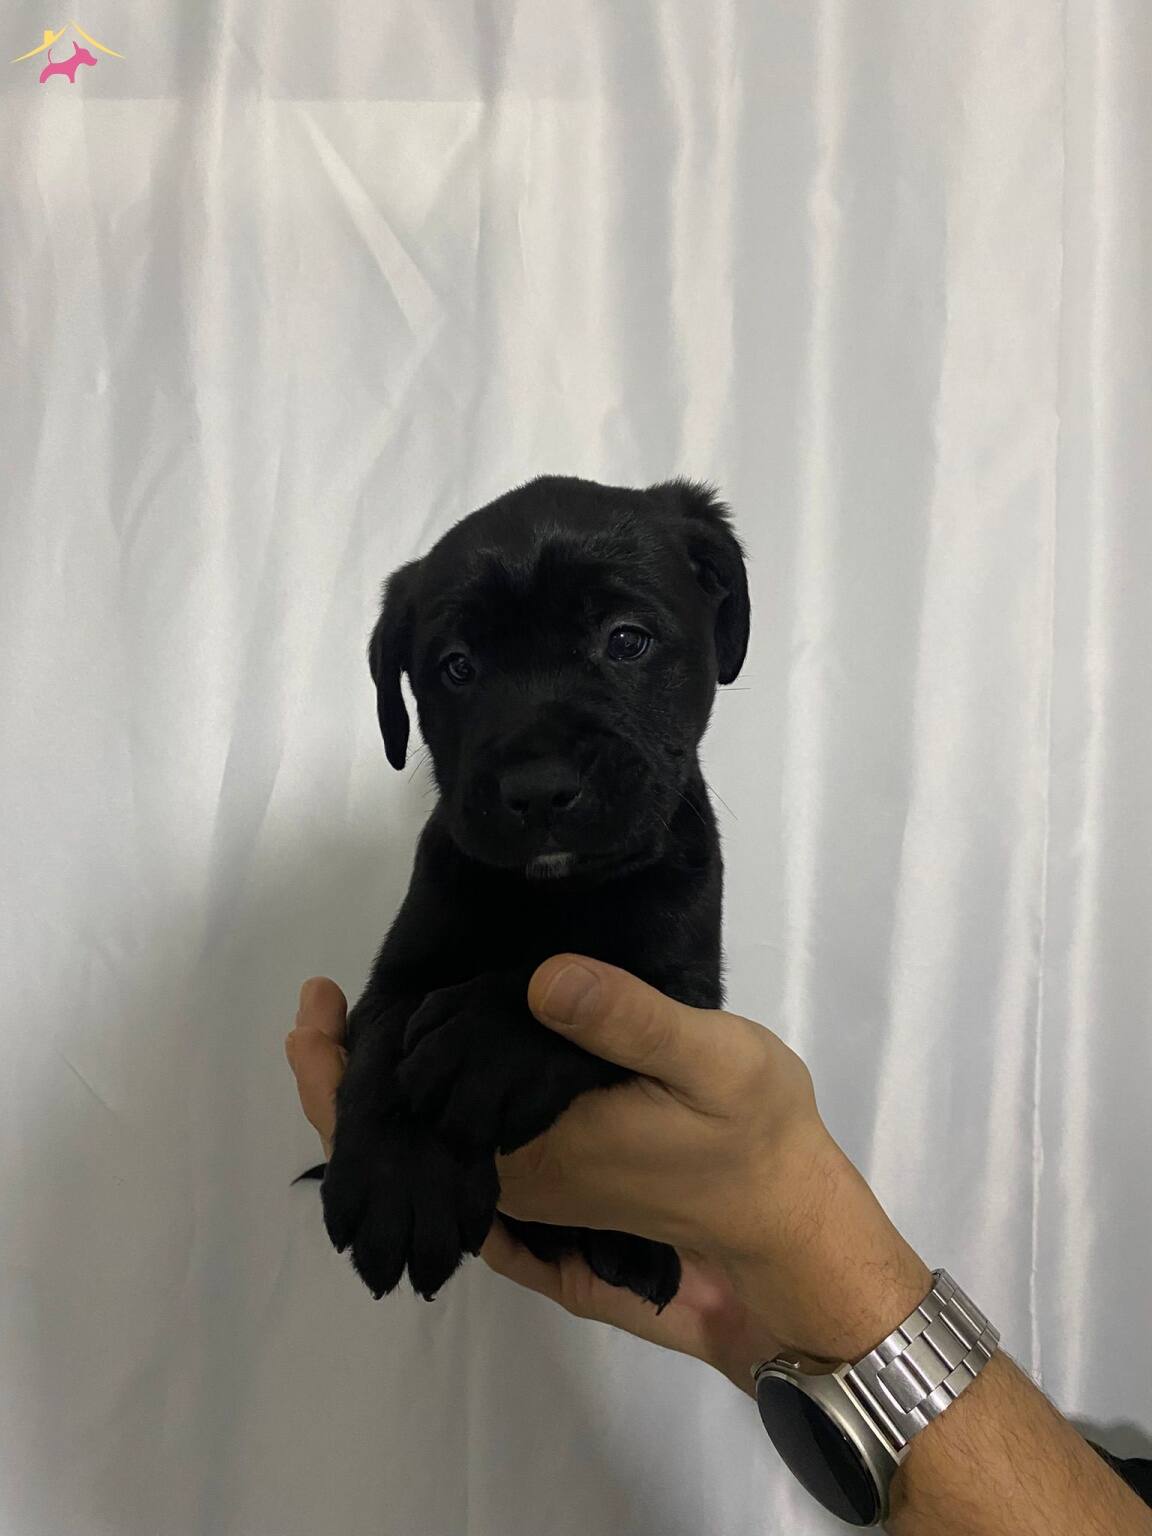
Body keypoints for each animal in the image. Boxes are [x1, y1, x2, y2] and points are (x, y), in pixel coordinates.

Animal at [313, 475, 749, 1307]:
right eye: (457, 666)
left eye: (626, 640)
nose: (540, 789)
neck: (554, 892)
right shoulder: (400, 973)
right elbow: (386, 1041)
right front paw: (401, 1185)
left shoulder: (680, 991)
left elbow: (581, 981)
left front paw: (480, 1044)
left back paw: (632, 1250)